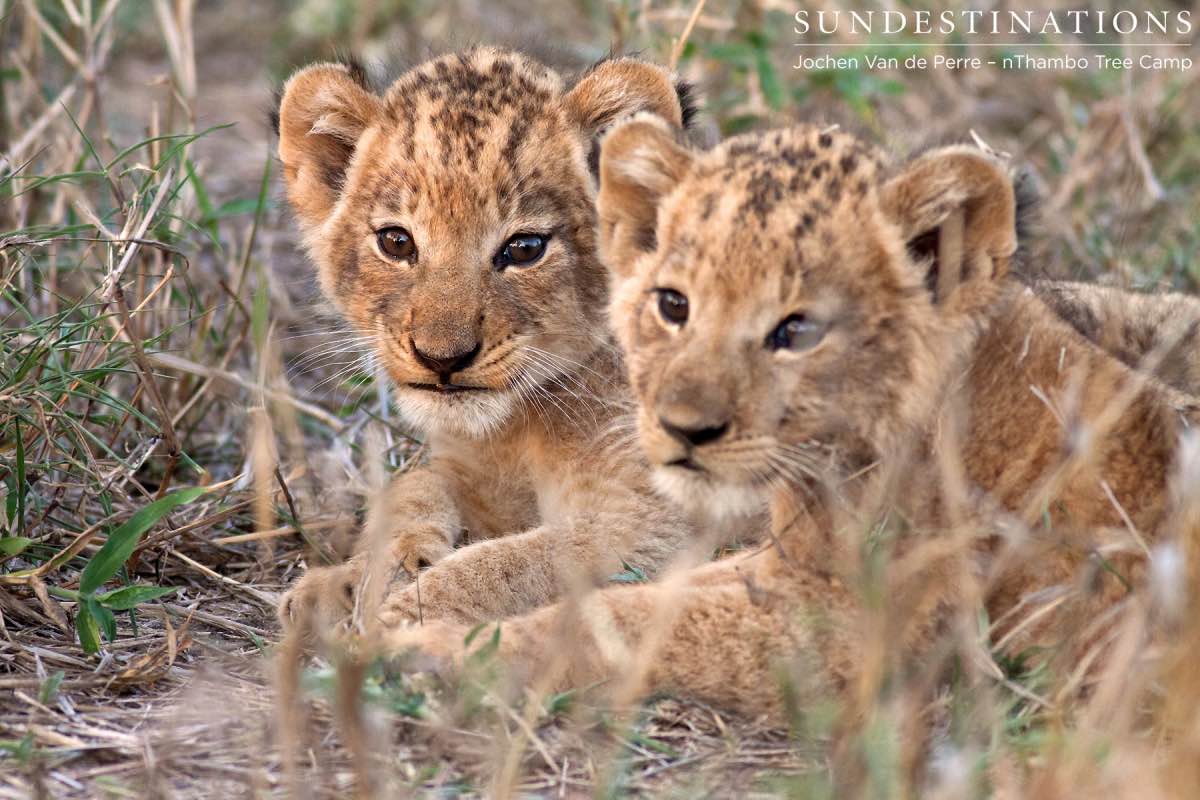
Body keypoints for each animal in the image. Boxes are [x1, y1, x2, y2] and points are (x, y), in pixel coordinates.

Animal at [376, 118, 1199, 736]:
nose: (684, 429)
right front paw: (417, 607)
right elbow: (639, 593)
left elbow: (625, 622)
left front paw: (429, 650)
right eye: (673, 304)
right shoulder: (785, 567)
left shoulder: (849, 636)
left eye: (797, 331)